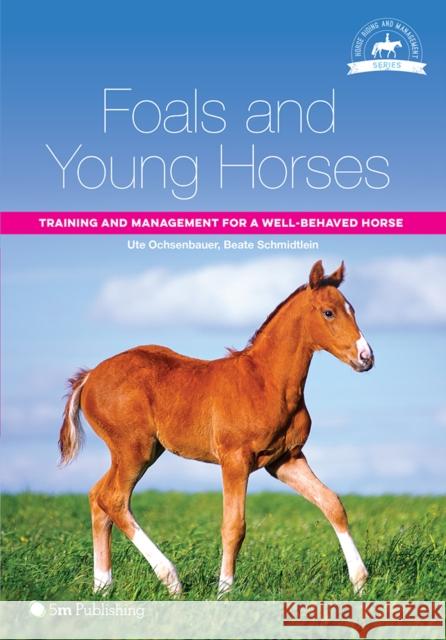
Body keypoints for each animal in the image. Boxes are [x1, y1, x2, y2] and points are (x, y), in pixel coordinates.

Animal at [59, 260, 374, 597]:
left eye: (352, 309)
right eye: (328, 312)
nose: (366, 358)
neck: (266, 382)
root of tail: (90, 376)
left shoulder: (285, 460)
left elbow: (332, 504)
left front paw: (359, 581)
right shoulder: (235, 460)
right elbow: (234, 525)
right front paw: (225, 590)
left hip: (140, 451)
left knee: (97, 497)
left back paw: (102, 586)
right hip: (133, 449)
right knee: (113, 499)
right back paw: (171, 579)